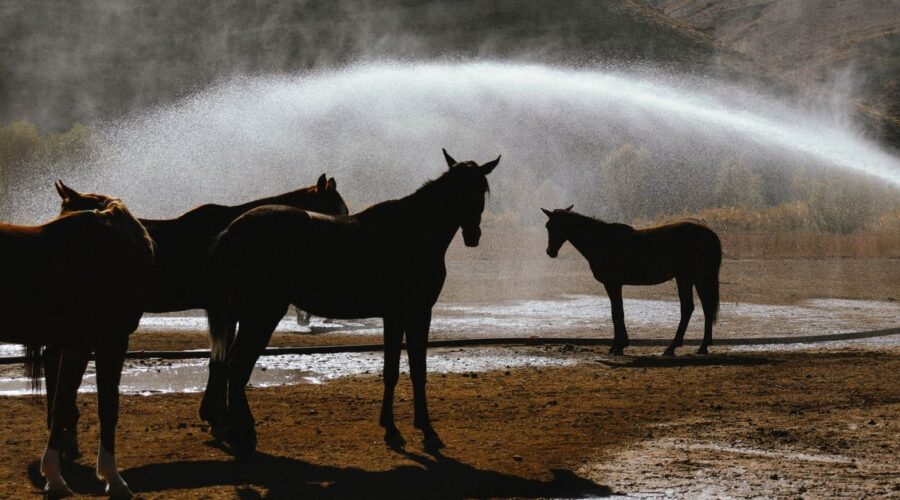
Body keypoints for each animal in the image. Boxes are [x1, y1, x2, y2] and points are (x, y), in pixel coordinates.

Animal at [1, 181, 154, 497]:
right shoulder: (108, 341)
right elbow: (102, 406)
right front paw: (110, 478)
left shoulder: (79, 344)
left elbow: (65, 403)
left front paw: (57, 476)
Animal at [41, 174, 349, 460]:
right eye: (337, 210)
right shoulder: (226, 310)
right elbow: (223, 363)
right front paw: (223, 422)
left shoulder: (224, 312)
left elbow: (218, 362)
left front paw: (215, 418)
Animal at [202, 149, 500, 453]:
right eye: (458, 189)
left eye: (480, 189)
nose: (473, 235)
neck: (410, 231)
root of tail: (230, 231)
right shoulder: (416, 313)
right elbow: (416, 370)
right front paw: (425, 430)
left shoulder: (396, 316)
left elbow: (394, 370)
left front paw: (392, 428)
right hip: (261, 316)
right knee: (238, 368)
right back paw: (243, 434)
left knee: (227, 366)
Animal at [541, 206, 721, 356]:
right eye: (548, 226)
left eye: (553, 226)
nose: (550, 251)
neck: (602, 240)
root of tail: (710, 233)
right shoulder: (615, 284)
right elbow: (617, 312)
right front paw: (619, 345)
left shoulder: (612, 284)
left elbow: (616, 313)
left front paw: (618, 346)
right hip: (695, 278)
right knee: (705, 308)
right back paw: (702, 346)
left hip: (687, 277)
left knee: (689, 308)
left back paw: (673, 347)